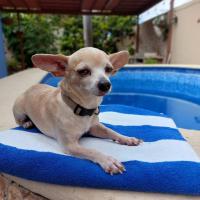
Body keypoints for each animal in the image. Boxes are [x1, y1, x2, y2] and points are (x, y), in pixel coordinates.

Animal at [12, 47, 142, 175]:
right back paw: (27, 123)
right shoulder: (70, 145)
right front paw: (108, 161)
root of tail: (30, 88)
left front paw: (127, 139)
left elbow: (111, 131)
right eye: (83, 71)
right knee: (20, 121)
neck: (82, 109)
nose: (105, 84)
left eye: (108, 69)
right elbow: (92, 151)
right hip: (19, 111)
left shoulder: (94, 127)